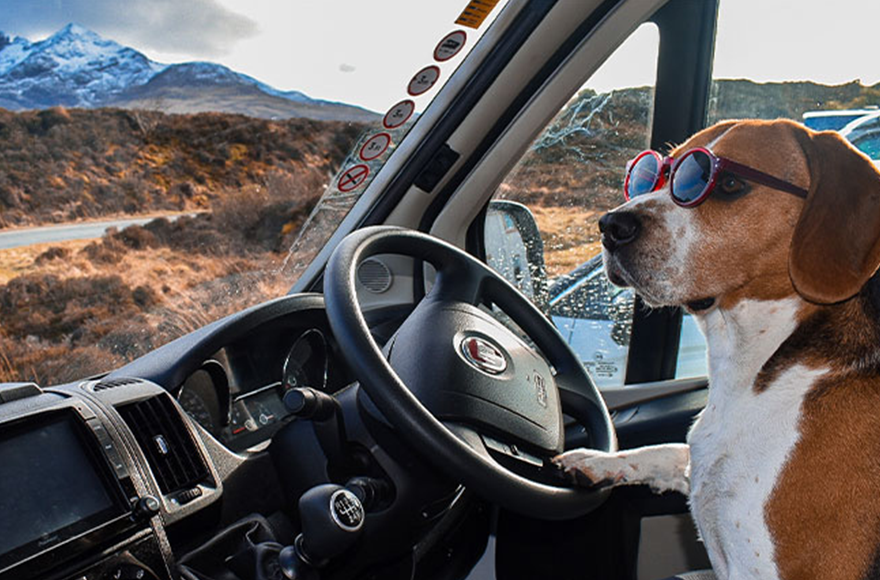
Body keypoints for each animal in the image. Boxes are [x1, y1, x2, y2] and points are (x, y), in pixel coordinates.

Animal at [552, 119, 880, 580]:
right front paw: (598, 460)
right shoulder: (701, 463)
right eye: (650, 176)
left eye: (728, 184)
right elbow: (672, 450)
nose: (611, 225)